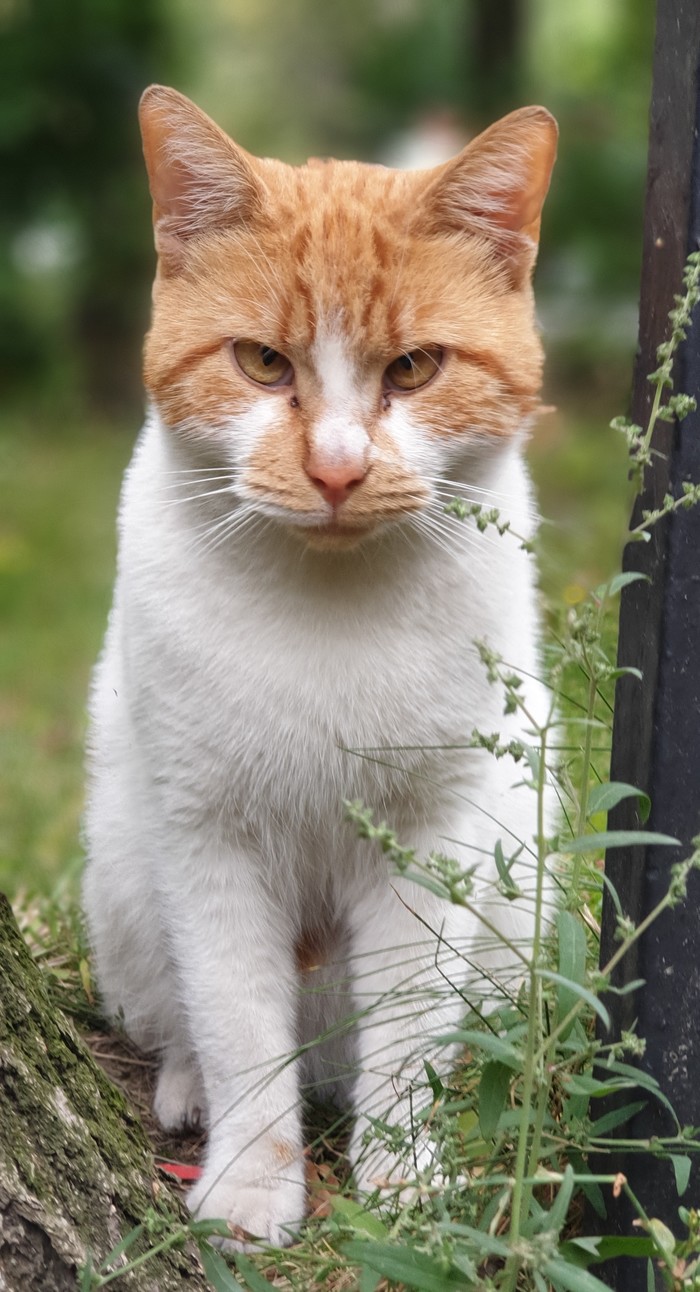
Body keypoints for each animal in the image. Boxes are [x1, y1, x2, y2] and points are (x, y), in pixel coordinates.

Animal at [82, 83, 560, 1250]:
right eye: (262, 363)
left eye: (414, 369)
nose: (338, 469)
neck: (327, 613)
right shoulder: (207, 837)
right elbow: (240, 1027)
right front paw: (251, 1189)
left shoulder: (434, 836)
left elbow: (409, 1027)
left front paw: (404, 1187)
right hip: (124, 869)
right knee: (184, 1023)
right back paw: (186, 1091)